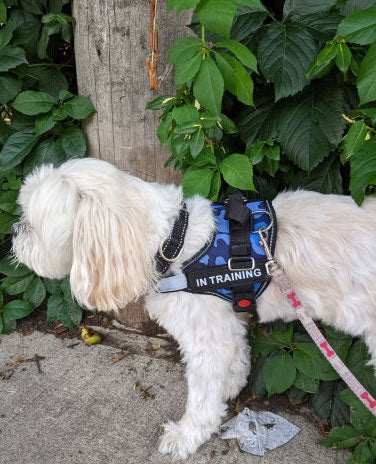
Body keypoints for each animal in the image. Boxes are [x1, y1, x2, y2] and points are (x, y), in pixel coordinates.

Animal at [11, 157, 376, 460]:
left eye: (31, 224)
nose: (13, 231)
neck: (173, 244)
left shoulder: (206, 339)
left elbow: (201, 398)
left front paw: (187, 436)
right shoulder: (227, 319)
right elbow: (237, 354)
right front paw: (229, 386)